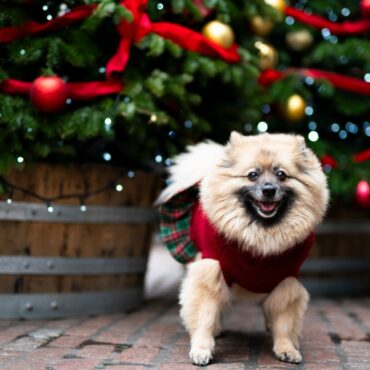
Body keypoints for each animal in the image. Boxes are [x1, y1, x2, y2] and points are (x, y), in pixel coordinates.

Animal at [155, 132, 328, 366]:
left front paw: (286, 348)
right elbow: (205, 316)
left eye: (281, 175)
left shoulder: (287, 281)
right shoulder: (210, 271)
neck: (261, 238)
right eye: (252, 175)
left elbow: (284, 322)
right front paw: (201, 348)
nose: (268, 190)